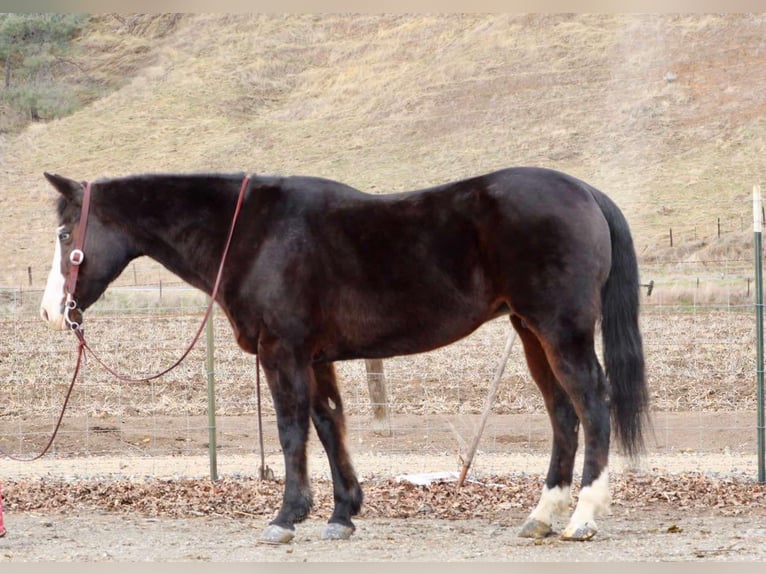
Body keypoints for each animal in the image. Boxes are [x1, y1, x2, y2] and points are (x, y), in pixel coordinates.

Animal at [39, 166, 648, 544]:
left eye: (67, 232)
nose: (51, 312)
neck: (258, 234)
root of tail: (583, 191)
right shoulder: (315, 358)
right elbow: (330, 424)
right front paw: (342, 513)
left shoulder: (283, 352)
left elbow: (292, 431)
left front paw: (287, 517)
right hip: (530, 333)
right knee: (563, 414)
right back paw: (542, 516)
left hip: (561, 332)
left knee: (592, 406)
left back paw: (584, 517)